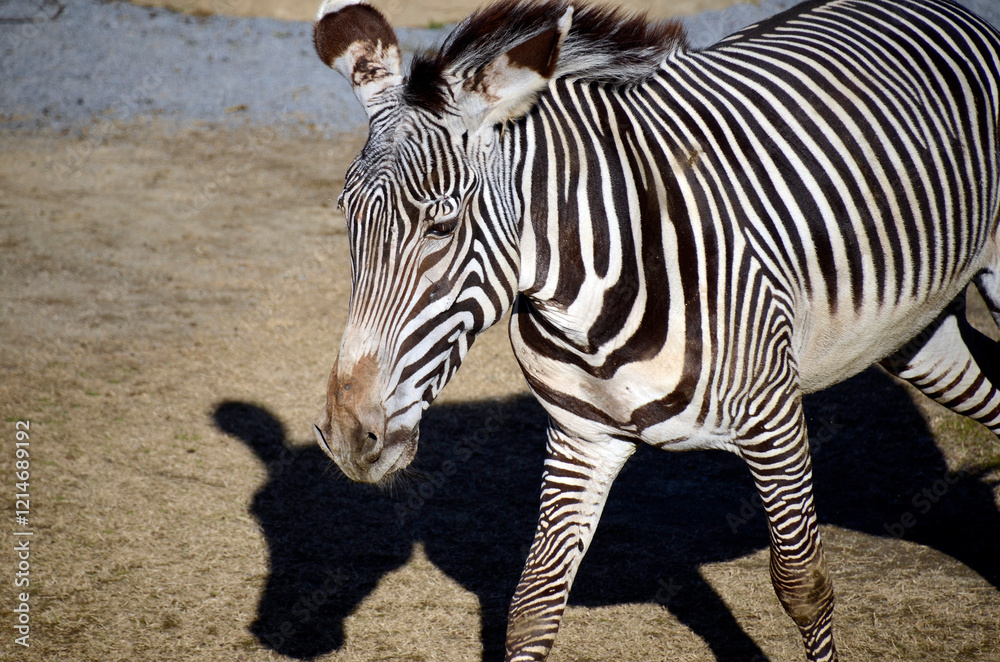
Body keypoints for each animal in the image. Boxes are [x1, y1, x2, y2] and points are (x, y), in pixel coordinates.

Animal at [310, 0, 1000, 660]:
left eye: (442, 227)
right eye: (346, 216)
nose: (347, 438)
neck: (587, 306)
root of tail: (944, 12)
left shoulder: (775, 421)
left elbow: (803, 585)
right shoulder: (582, 438)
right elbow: (534, 602)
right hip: (913, 335)